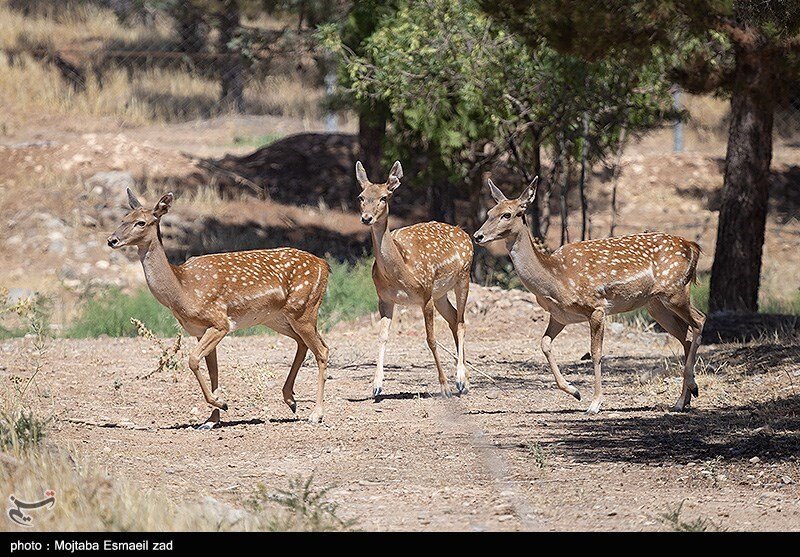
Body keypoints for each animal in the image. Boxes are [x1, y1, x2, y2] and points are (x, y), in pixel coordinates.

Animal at [108, 189, 330, 424]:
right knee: (303, 343)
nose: (112, 240)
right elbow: (212, 370)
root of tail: (325, 265)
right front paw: (212, 419)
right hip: (277, 317)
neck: (182, 290)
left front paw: (221, 403)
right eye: (123, 219)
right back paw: (291, 400)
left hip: (304, 308)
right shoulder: (199, 330)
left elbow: (193, 360)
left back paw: (316, 414)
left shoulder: (220, 322)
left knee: (322, 349)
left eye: (141, 222)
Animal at [358, 159, 476, 398]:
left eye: (384, 197)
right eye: (361, 197)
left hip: (463, 277)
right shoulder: (385, 299)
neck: (400, 271)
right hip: (440, 294)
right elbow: (382, 336)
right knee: (453, 319)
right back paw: (466, 380)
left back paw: (460, 380)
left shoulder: (425, 294)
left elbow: (431, 340)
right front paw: (376, 385)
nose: (366, 218)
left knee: (461, 322)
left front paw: (444, 387)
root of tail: (465, 233)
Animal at [476, 178, 708, 412]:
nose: (478, 235)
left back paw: (690, 389)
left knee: (699, 320)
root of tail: (693, 247)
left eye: (507, 214)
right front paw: (575, 391)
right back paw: (683, 400)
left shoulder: (596, 307)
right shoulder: (560, 316)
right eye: (490, 212)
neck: (554, 279)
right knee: (686, 336)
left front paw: (595, 403)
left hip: (674, 290)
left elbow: (595, 353)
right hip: (656, 304)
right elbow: (545, 344)